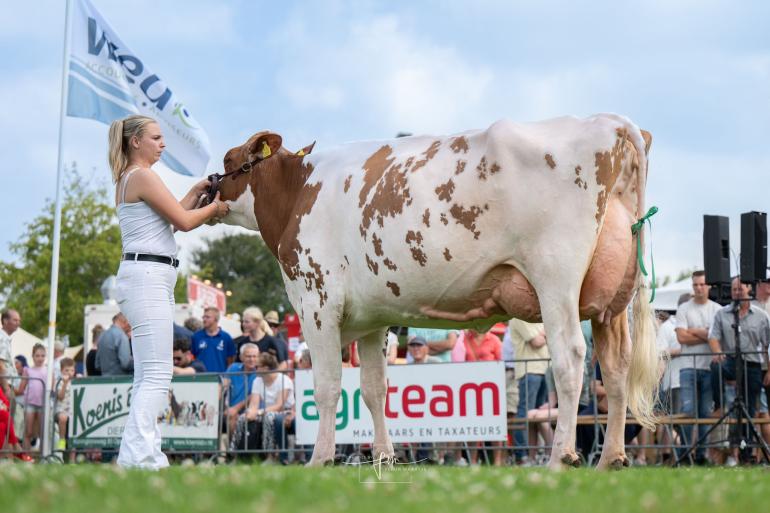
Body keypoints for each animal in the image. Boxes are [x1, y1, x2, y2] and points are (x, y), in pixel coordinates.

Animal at [214, 114, 656, 470]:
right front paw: (384, 457)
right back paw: (610, 459)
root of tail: (608, 121)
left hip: (555, 278)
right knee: (615, 367)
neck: (299, 191)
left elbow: (327, 386)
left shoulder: (316, 301)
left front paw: (320, 459)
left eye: (227, 162)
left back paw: (560, 457)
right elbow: (374, 389)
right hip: (612, 303)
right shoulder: (372, 318)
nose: (207, 188)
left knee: (570, 359)